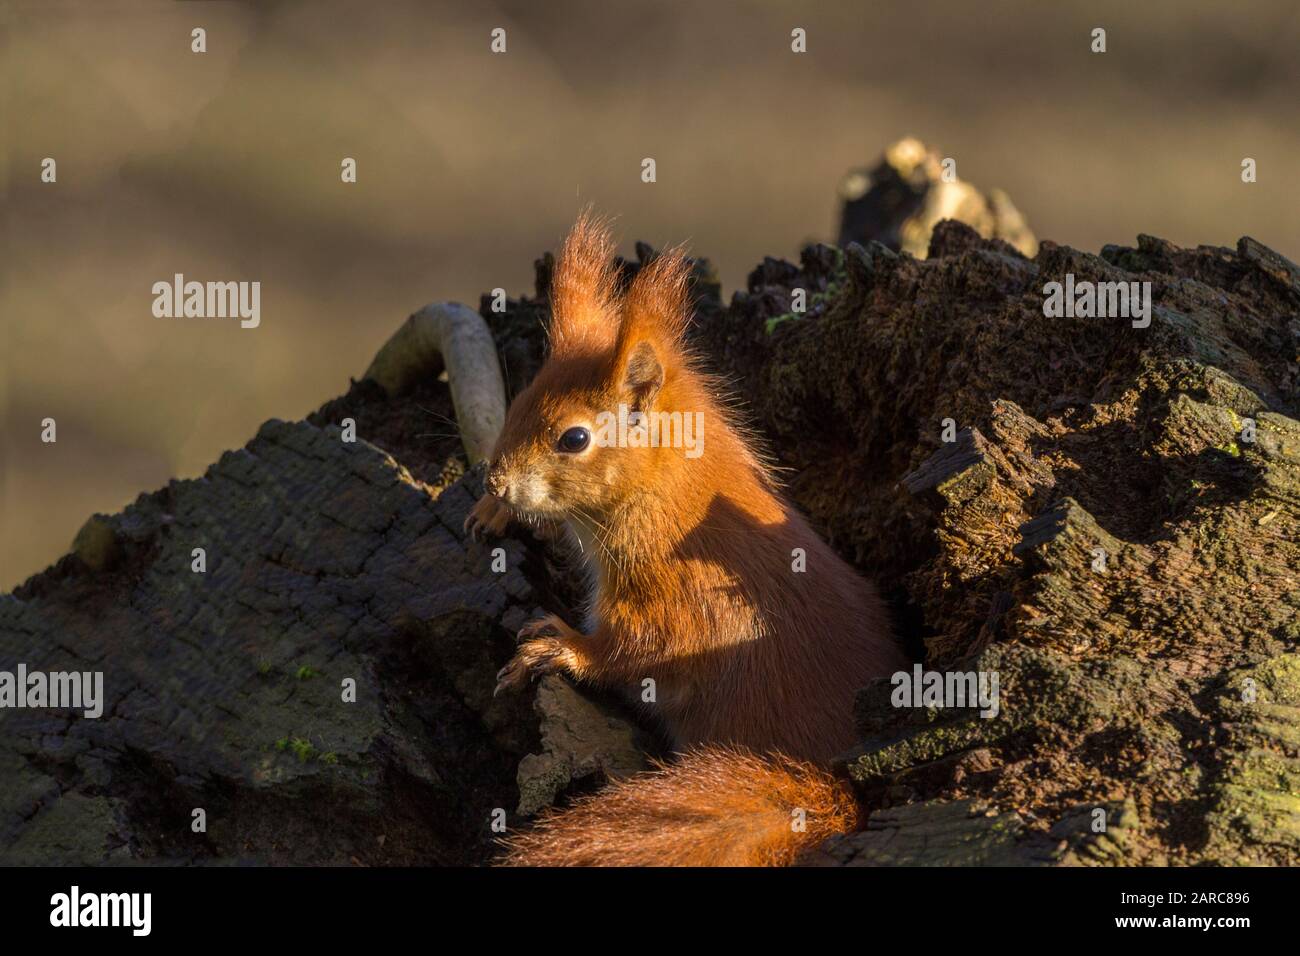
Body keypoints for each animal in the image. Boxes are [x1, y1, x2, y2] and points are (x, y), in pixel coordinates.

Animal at [465, 217, 904, 868]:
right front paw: (493, 510)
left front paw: (561, 645)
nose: (496, 480)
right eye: (517, 400)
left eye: (574, 438)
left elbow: (642, 646)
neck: (669, 493)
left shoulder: (688, 591)